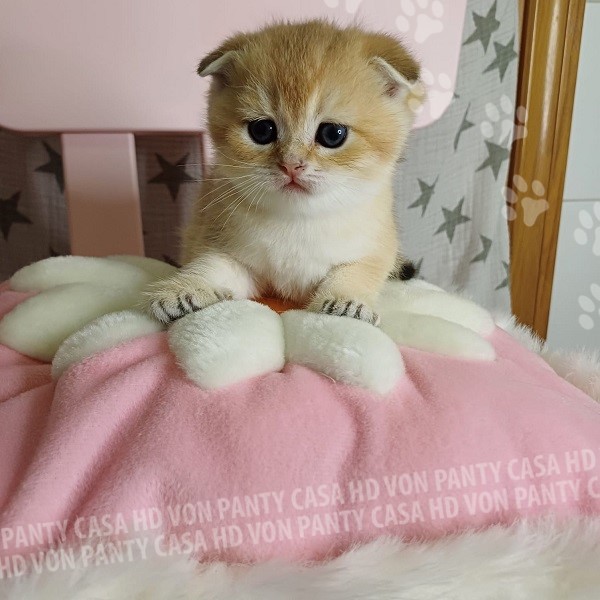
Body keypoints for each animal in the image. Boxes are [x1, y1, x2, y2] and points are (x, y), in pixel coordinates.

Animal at [145, 19, 423, 326]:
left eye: (333, 134)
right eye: (262, 130)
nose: (291, 164)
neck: (298, 219)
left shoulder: (374, 246)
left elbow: (356, 272)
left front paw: (345, 300)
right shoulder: (229, 251)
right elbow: (210, 265)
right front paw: (185, 289)